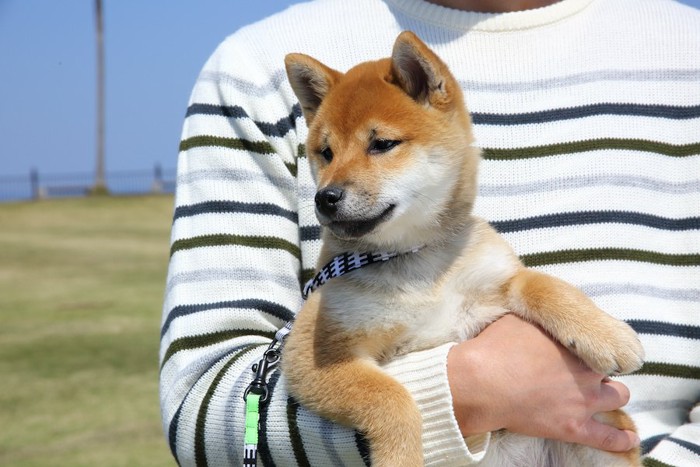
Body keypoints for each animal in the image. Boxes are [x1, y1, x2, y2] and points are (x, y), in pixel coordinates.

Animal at [280, 31, 644, 466]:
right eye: (326, 153)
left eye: (382, 144)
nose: (325, 197)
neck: (416, 260)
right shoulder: (314, 354)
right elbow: (391, 398)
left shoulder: (497, 279)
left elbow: (544, 285)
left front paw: (607, 335)